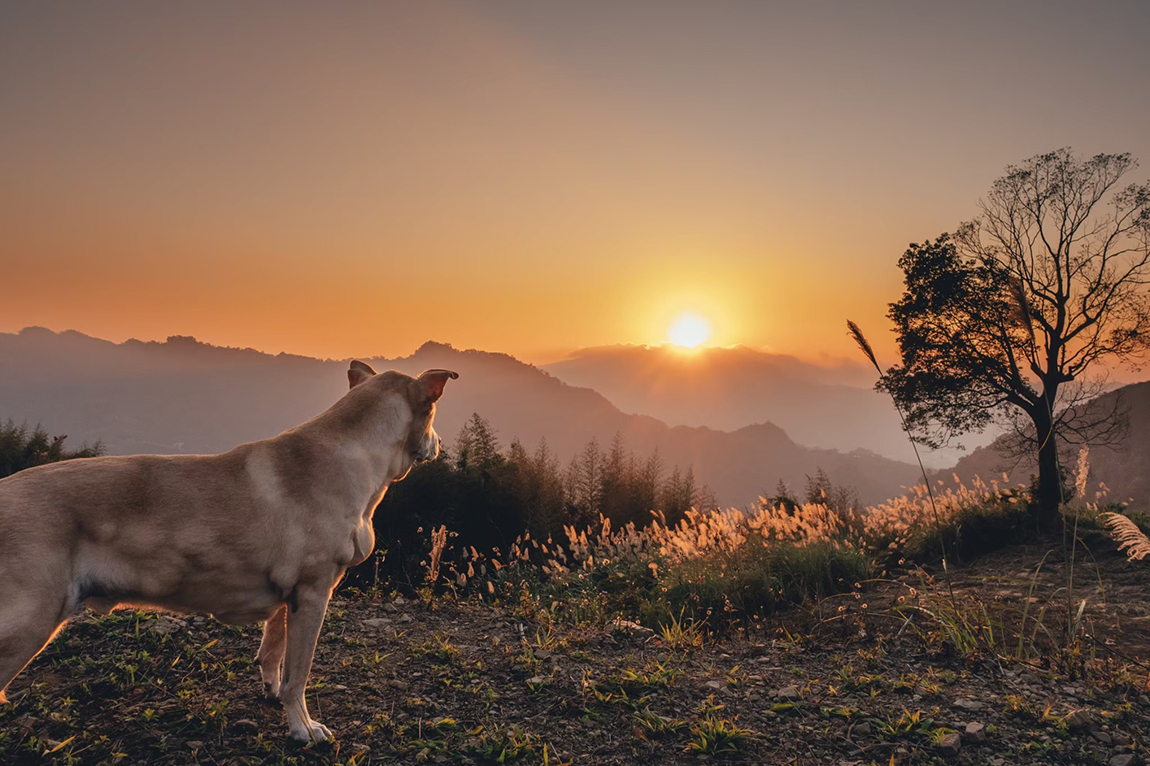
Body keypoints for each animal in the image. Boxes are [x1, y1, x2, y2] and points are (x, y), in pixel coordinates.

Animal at [0, 361, 457, 736]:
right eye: (434, 413)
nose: (440, 445)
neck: (357, 452)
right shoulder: (314, 592)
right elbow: (299, 672)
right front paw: (303, 728)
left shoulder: (289, 598)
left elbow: (274, 652)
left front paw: (273, 693)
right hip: (27, 622)